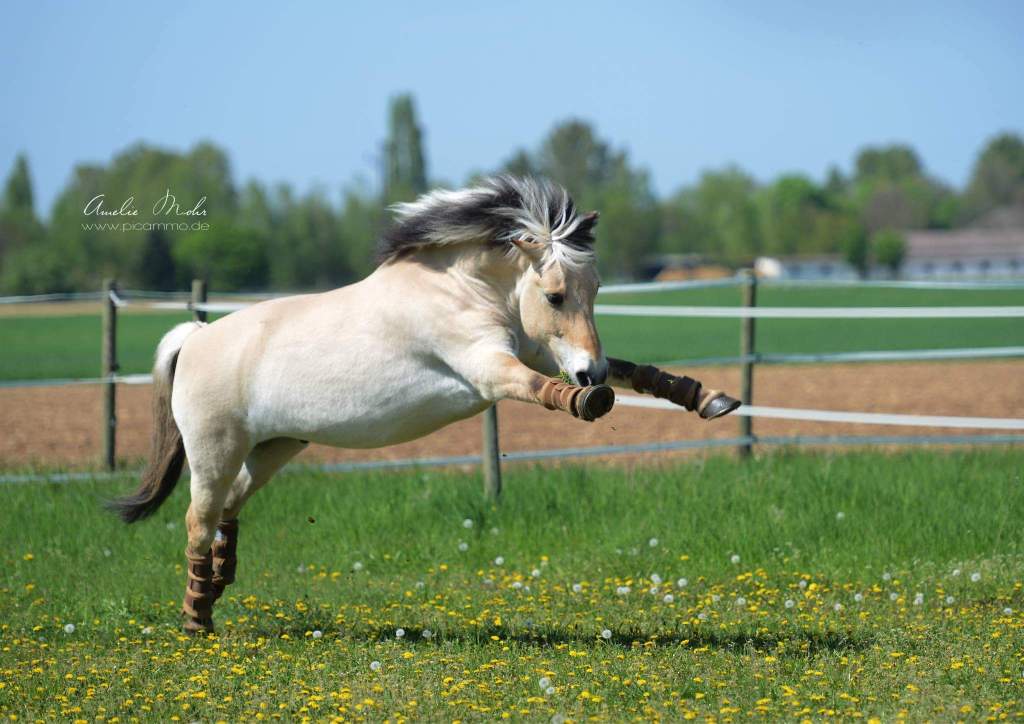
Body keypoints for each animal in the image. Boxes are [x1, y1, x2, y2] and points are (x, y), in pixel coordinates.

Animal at [109, 175, 739, 634]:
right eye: (556, 295)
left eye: (598, 290)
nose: (590, 371)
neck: (459, 289)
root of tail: (195, 336)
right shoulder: (490, 367)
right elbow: (544, 391)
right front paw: (590, 399)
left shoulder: (531, 351)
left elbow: (636, 370)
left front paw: (709, 398)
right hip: (214, 451)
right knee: (198, 519)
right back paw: (197, 617)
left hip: (274, 448)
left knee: (228, 509)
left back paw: (220, 582)